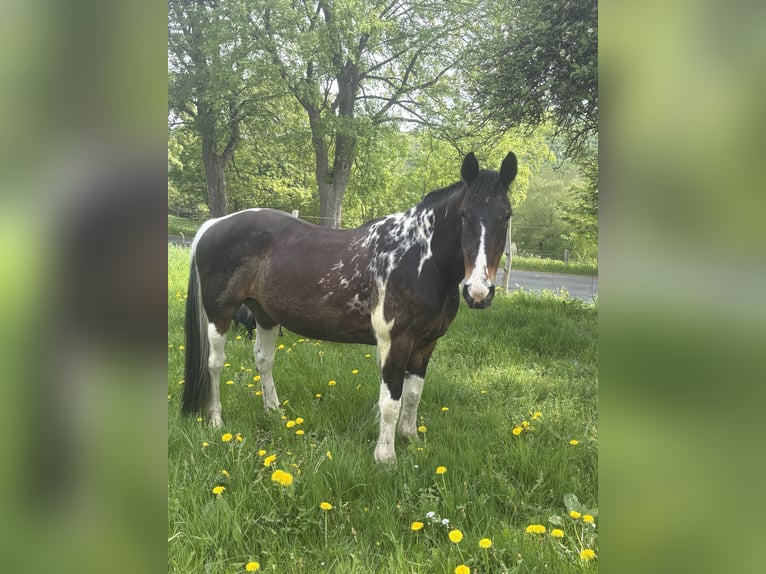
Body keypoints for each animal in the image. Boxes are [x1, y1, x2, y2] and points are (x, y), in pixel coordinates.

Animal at [182, 151, 517, 463]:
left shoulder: (426, 344)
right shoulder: (396, 342)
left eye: (506, 215)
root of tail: (214, 224)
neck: (419, 259)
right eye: (463, 214)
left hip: (265, 315)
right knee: (215, 363)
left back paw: (274, 412)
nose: (478, 292)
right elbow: (391, 401)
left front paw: (411, 440)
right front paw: (386, 457)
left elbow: (413, 394)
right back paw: (215, 420)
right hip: (220, 314)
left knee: (263, 361)